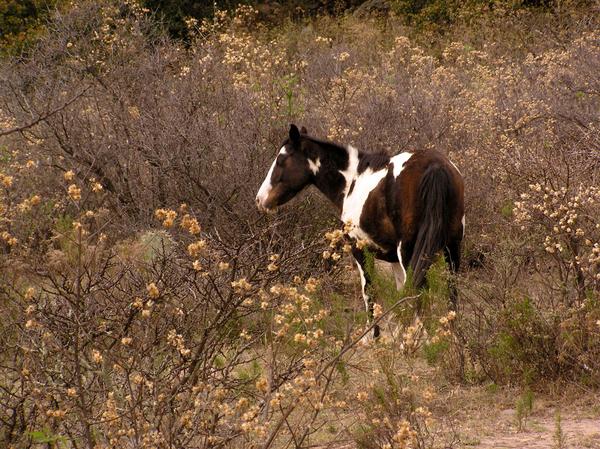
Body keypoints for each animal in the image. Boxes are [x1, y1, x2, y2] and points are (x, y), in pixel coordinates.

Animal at [253, 124, 464, 334]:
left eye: (281, 159)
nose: (260, 199)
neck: (352, 181)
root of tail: (435, 166)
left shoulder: (359, 250)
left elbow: (369, 293)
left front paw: (374, 335)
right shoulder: (394, 260)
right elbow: (400, 294)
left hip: (411, 253)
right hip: (452, 249)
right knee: (451, 291)